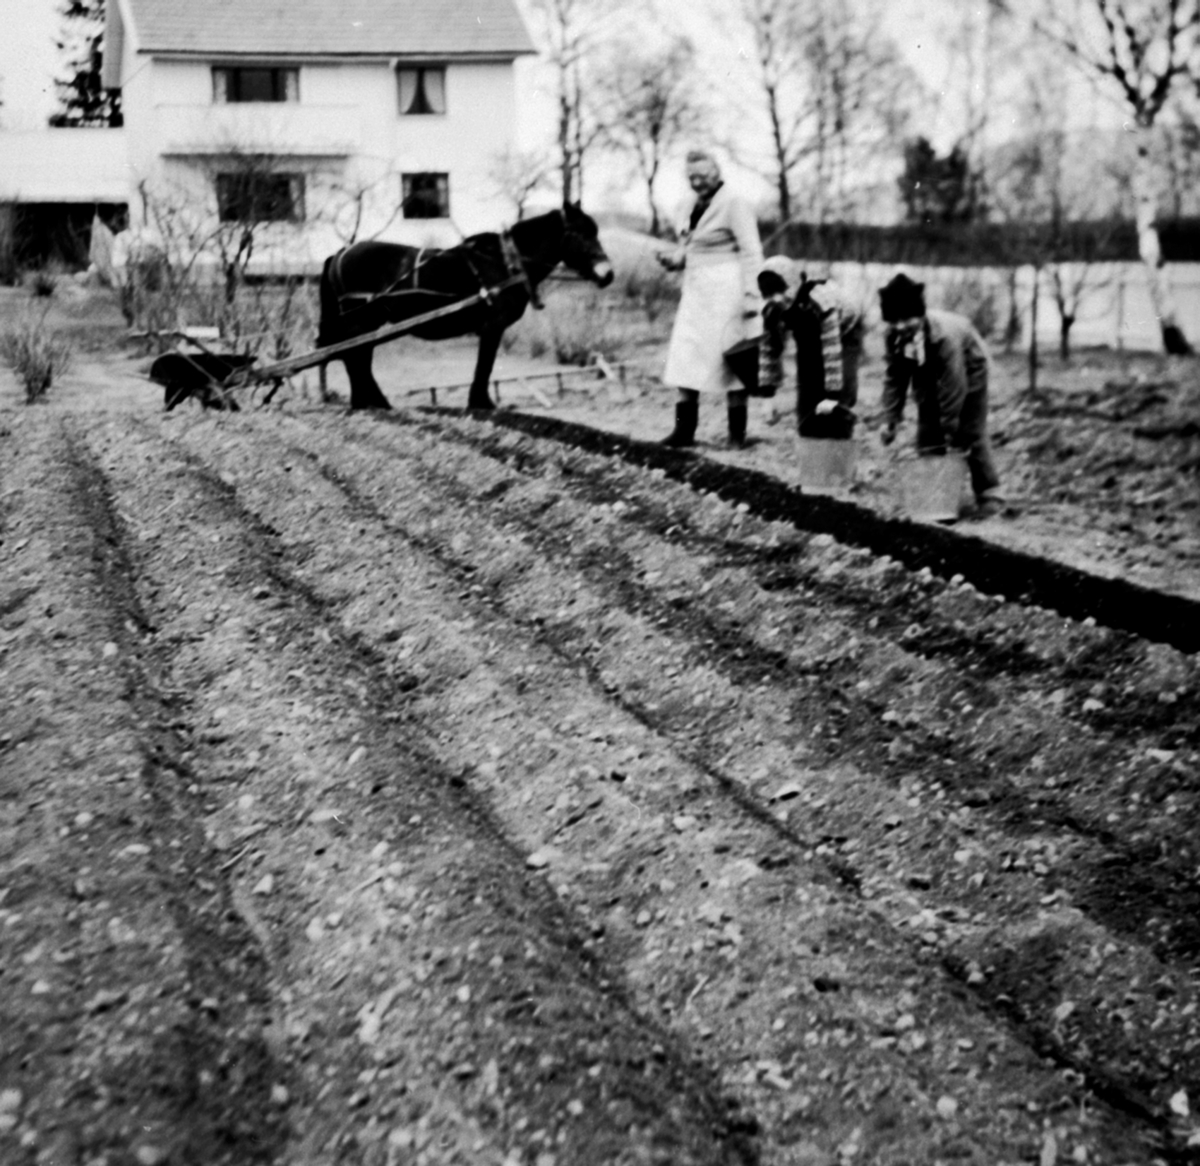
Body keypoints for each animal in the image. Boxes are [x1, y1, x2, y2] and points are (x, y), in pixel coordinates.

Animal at [316, 202, 614, 412]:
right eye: (581, 233)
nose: (608, 274)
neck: (505, 264)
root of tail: (340, 254)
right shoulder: (492, 326)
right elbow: (485, 365)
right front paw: (481, 402)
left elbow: (485, 365)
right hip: (361, 321)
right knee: (355, 357)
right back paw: (368, 402)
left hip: (366, 323)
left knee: (357, 357)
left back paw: (369, 402)